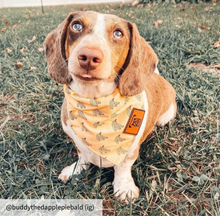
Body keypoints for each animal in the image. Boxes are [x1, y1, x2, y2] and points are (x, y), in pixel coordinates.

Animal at [43, 11, 176, 201]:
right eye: (76, 26)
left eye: (118, 33)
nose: (89, 56)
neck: (95, 102)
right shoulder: (74, 137)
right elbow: (82, 155)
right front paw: (75, 170)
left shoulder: (129, 150)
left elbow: (123, 167)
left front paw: (124, 187)